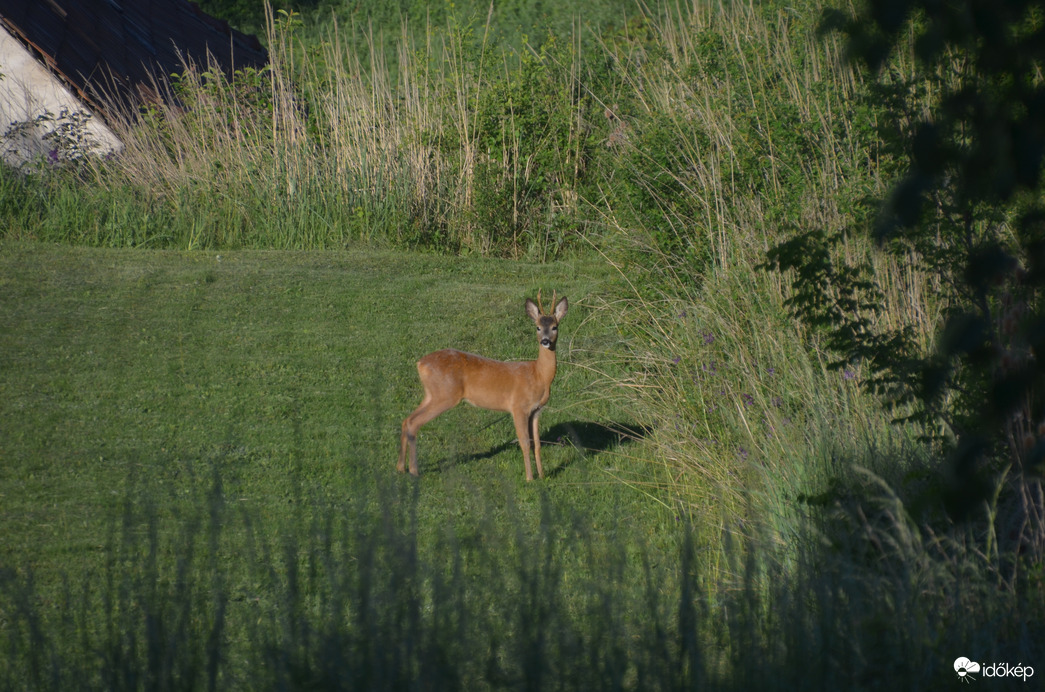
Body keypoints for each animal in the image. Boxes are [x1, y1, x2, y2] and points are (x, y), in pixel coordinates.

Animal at [397, 292, 572, 482]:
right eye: (538, 328)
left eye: (555, 327)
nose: (545, 341)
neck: (538, 375)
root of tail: (420, 363)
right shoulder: (518, 407)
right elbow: (525, 443)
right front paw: (529, 478)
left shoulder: (536, 410)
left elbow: (537, 444)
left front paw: (542, 475)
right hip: (445, 395)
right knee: (414, 422)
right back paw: (414, 471)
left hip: (431, 394)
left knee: (407, 420)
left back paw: (401, 468)